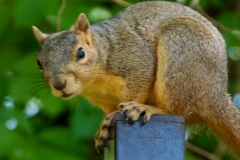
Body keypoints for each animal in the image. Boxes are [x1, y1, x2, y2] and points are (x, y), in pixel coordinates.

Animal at [32, 0, 240, 156]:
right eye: (39, 63)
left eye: (81, 52)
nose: (59, 84)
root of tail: (216, 97)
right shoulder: (100, 97)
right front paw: (105, 124)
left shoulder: (135, 60)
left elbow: (139, 83)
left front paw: (119, 113)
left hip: (181, 45)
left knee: (177, 109)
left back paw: (148, 108)